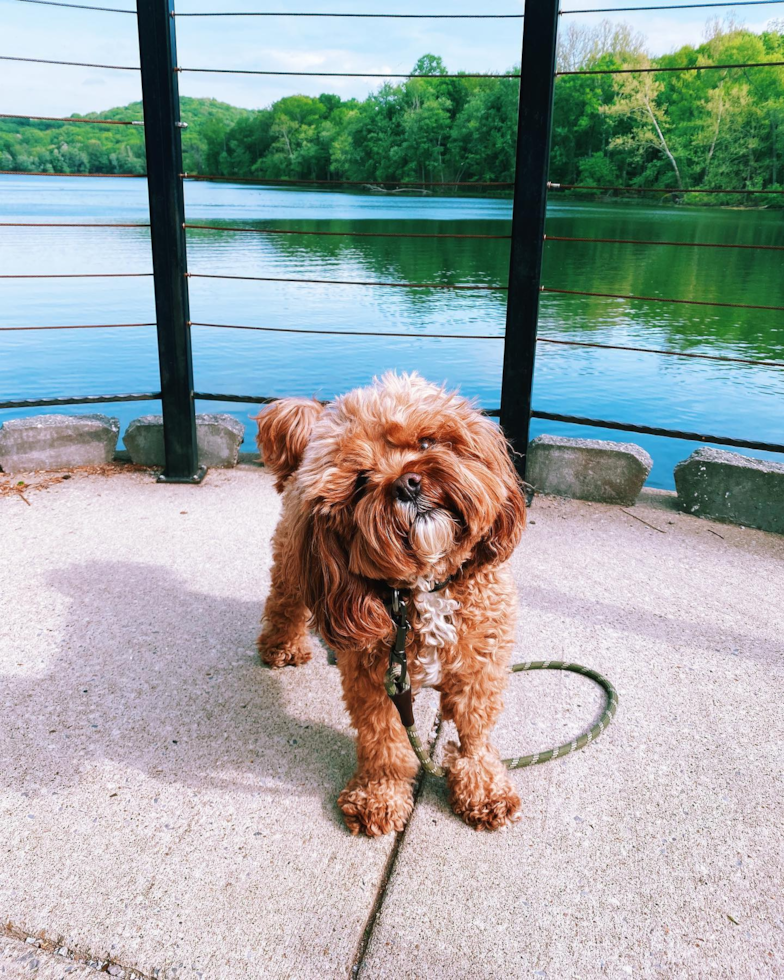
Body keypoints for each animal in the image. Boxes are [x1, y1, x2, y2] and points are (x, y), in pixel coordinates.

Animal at [256, 374, 528, 836]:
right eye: (361, 480)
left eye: (426, 441)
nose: (407, 483)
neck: (427, 587)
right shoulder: (376, 682)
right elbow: (384, 741)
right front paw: (379, 795)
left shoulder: (480, 668)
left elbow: (474, 730)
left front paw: (483, 788)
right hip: (294, 566)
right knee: (284, 604)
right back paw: (282, 646)